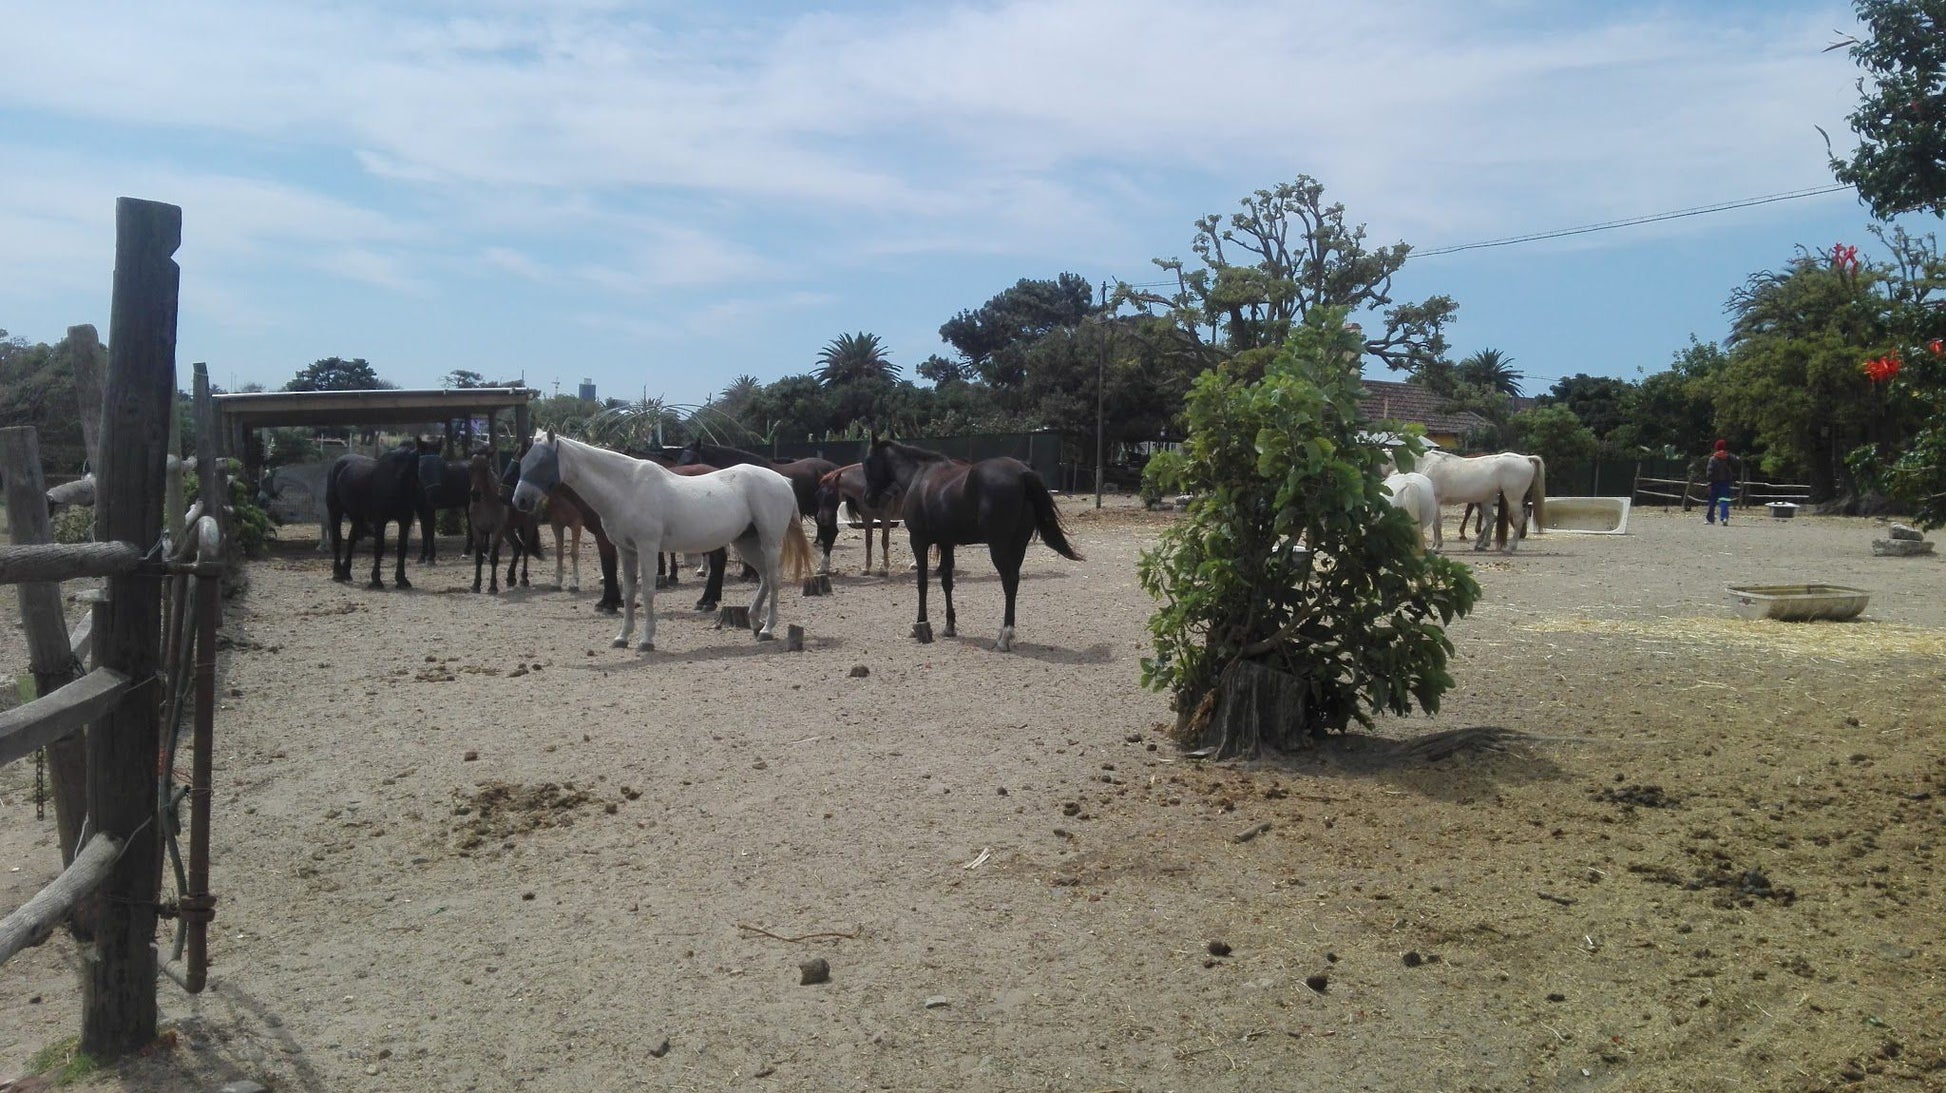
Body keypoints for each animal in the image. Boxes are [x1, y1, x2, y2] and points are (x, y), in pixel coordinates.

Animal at [324, 439, 424, 587]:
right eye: (395, 462)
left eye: (413, 460)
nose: (398, 477)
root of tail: (337, 463)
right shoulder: (380, 520)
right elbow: (379, 546)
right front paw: (376, 580)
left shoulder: (405, 520)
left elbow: (402, 547)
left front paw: (402, 579)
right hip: (335, 510)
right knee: (337, 538)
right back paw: (337, 573)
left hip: (357, 515)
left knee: (352, 540)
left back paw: (346, 572)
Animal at [509, 427, 813, 645]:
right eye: (523, 461)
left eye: (542, 462)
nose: (519, 500)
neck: (626, 488)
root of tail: (782, 480)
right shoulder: (626, 549)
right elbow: (629, 591)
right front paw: (622, 637)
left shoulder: (647, 548)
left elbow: (647, 590)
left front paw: (646, 640)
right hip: (746, 541)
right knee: (764, 578)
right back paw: (754, 622)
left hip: (769, 541)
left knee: (774, 579)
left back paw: (767, 629)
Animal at [864, 437, 1081, 649]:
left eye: (867, 463)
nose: (868, 498)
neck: (921, 476)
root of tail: (1022, 472)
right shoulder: (947, 543)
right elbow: (947, 582)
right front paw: (949, 626)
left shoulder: (918, 541)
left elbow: (922, 583)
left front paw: (921, 624)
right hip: (1018, 546)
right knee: (1014, 582)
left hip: (999, 546)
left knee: (1009, 581)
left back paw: (1004, 636)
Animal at [1416, 449, 1549, 548]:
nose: (1523, 534)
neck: (1427, 463)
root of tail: (1525, 458)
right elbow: (1434, 524)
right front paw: (1434, 545)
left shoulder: (1436, 501)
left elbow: (1437, 523)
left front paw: (1437, 546)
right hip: (1488, 501)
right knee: (1492, 519)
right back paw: (1483, 544)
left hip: (1513, 499)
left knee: (1518, 519)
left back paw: (1511, 547)